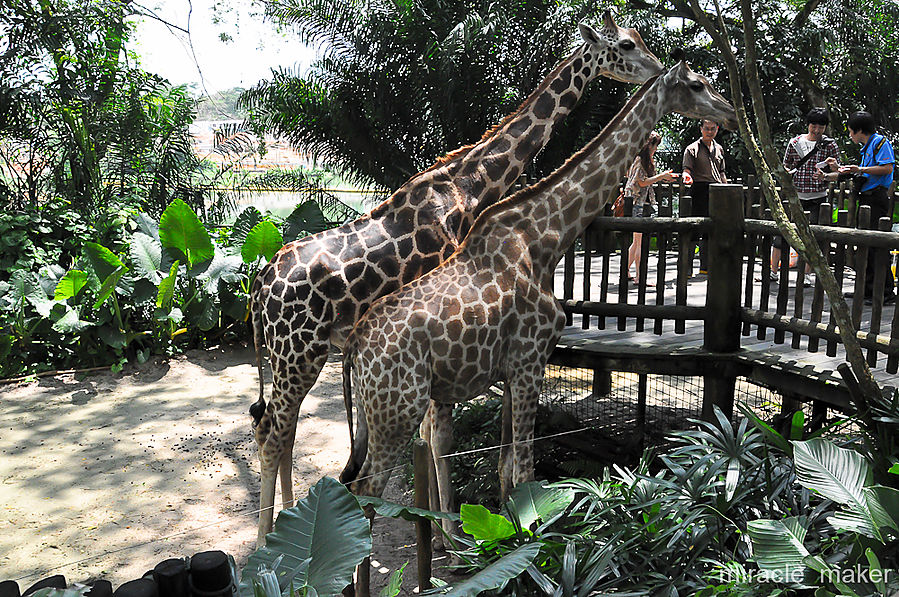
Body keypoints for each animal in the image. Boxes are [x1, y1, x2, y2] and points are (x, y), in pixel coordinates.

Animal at [250, 11, 664, 544]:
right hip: (296, 353)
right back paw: (267, 537)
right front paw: (448, 534)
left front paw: (440, 526)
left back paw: (287, 522)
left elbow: (432, 432)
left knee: (281, 429)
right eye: (627, 44)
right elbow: (438, 432)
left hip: (299, 357)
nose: (657, 68)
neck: (469, 181)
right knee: (272, 432)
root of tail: (259, 287)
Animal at [340, 60, 740, 520]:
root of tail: (354, 349)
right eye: (698, 84)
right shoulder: (530, 362)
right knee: (367, 492)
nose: (730, 114)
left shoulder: (511, 371)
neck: (544, 238)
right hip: (397, 409)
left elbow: (505, 471)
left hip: (375, 416)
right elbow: (526, 473)